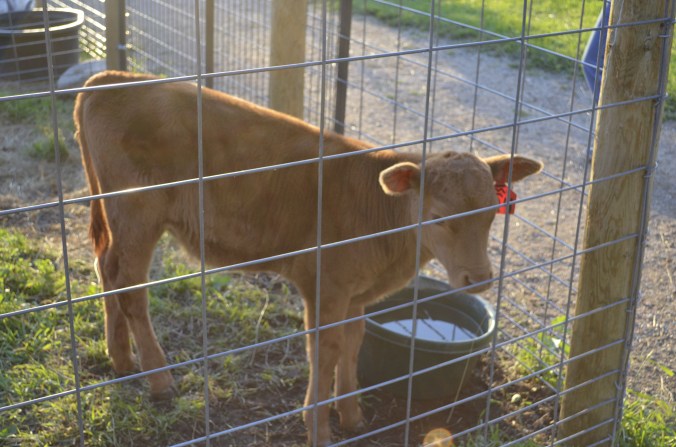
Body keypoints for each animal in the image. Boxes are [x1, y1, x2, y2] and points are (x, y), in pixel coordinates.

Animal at [74, 71, 542, 445]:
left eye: (492, 211)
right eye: (439, 217)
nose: (479, 278)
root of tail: (111, 79)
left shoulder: (355, 294)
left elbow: (352, 343)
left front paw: (352, 417)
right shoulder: (325, 286)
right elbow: (326, 349)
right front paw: (318, 427)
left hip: (119, 218)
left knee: (106, 269)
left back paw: (122, 359)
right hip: (138, 212)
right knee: (131, 287)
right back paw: (159, 379)